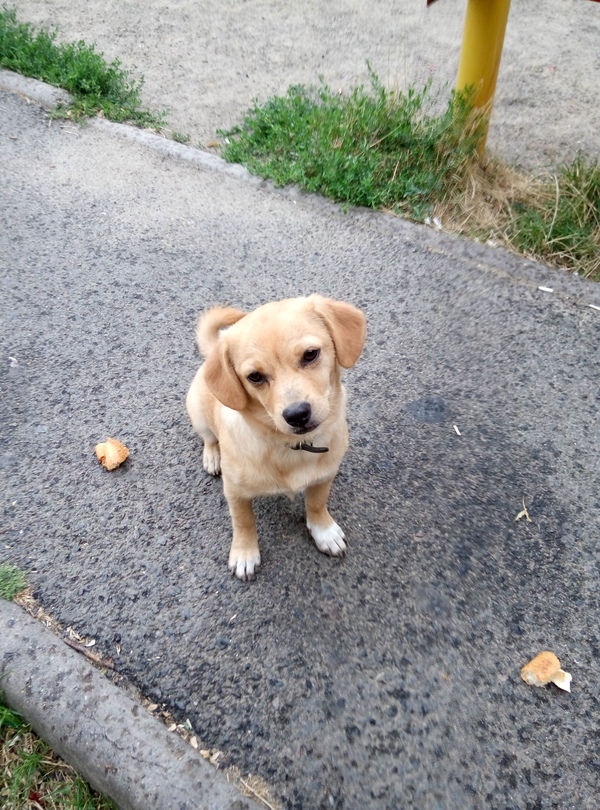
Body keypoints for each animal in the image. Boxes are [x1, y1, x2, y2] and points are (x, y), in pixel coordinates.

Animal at [186, 294, 366, 576]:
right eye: (254, 376)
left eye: (310, 354)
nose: (297, 414)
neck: (292, 447)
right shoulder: (234, 492)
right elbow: (243, 521)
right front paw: (245, 552)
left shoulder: (325, 476)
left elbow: (317, 503)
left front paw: (323, 530)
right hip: (197, 412)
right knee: (209, 438)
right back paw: (212, 457)